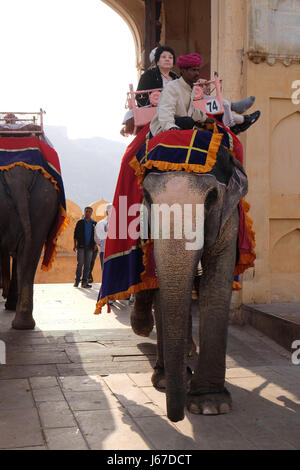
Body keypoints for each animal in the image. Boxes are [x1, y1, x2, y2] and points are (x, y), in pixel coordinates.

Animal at [130, 149, 247, 424]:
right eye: (147, 196)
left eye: (212, 197)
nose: (176, 418)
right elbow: (161, 286)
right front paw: (165, 381)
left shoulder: (229, 218)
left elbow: (216, 284)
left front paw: (210, 405)